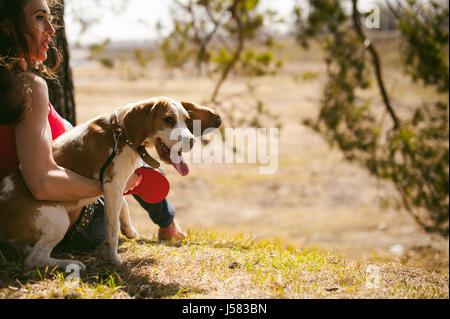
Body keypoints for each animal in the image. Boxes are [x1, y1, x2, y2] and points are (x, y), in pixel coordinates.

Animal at [0, 97, 221, 270]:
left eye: (186, 120)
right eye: (169, 120)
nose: (191, 141)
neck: (121, 132)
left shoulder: (115, 185)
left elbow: (123, 206)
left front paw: (129, 230)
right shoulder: (112, 184)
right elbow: (112, 228)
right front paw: (114, 257)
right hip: (58, 219)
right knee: (34, 259)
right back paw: (69, 263)